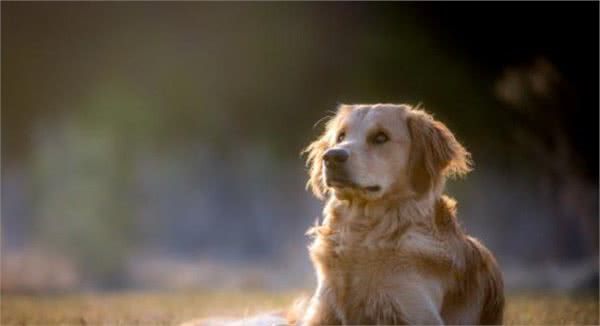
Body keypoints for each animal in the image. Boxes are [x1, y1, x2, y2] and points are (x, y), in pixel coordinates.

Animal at [298, 103, 504, 324]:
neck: (363, 233)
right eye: (341, 136)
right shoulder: (322, 311)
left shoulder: (417, 313)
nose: (331, 156)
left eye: (381, 137)